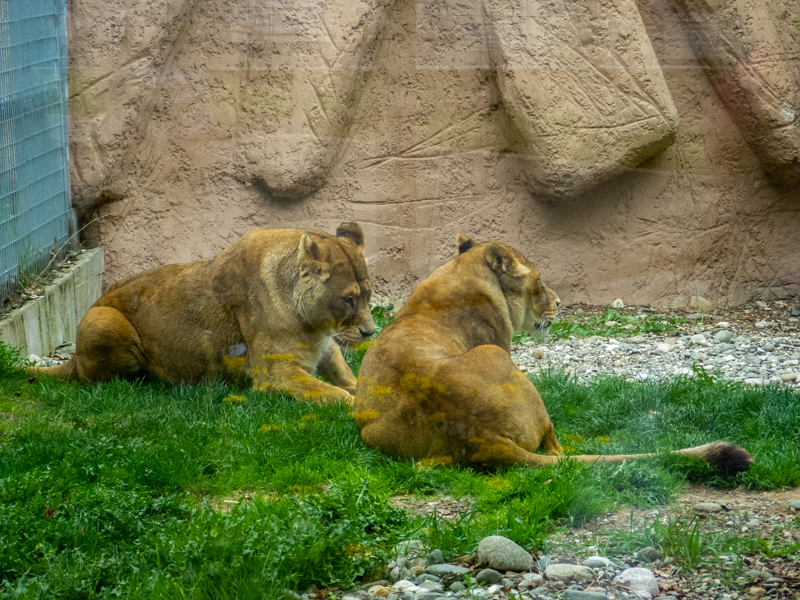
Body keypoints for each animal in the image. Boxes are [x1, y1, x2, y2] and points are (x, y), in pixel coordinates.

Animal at [32, 222, 375, 404]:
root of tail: (73, 356)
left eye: (369, 295)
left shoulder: (326, 346)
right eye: (348, 299)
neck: (315, 326)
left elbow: (349, 377)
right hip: (104, 320)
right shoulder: (277, 375)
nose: (370, 332)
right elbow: (337, 394)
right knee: (93, 379)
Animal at [353, 234, 752, 473]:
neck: (461, 274)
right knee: (557, 450)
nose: (560, 302)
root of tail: (481, 436)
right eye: (540, 279)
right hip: (498, 359)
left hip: (386, 441)